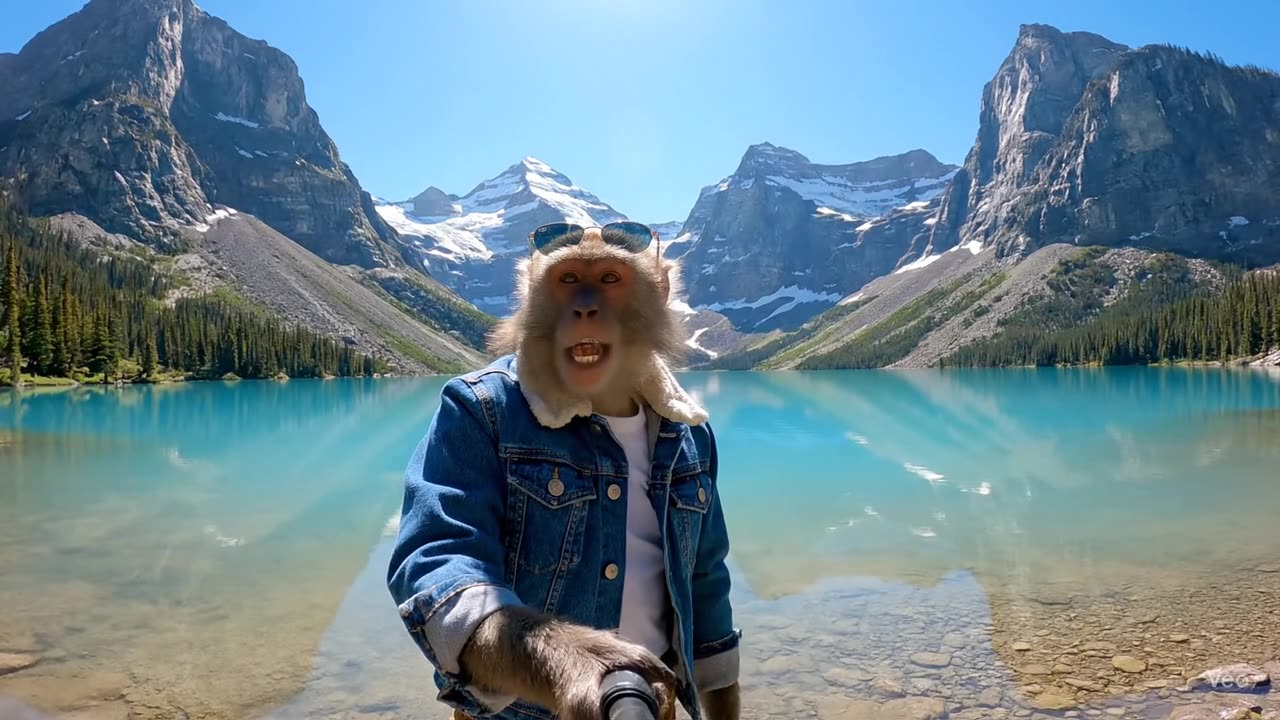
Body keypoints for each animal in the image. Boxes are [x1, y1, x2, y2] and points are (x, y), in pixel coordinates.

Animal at [387, 222, 741, 720]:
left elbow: (707, 576)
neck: (607, 407)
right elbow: (444, 549)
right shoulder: (458, 412)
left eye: (610, 278)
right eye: (568, 278)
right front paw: (590, 660)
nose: (584, 308)